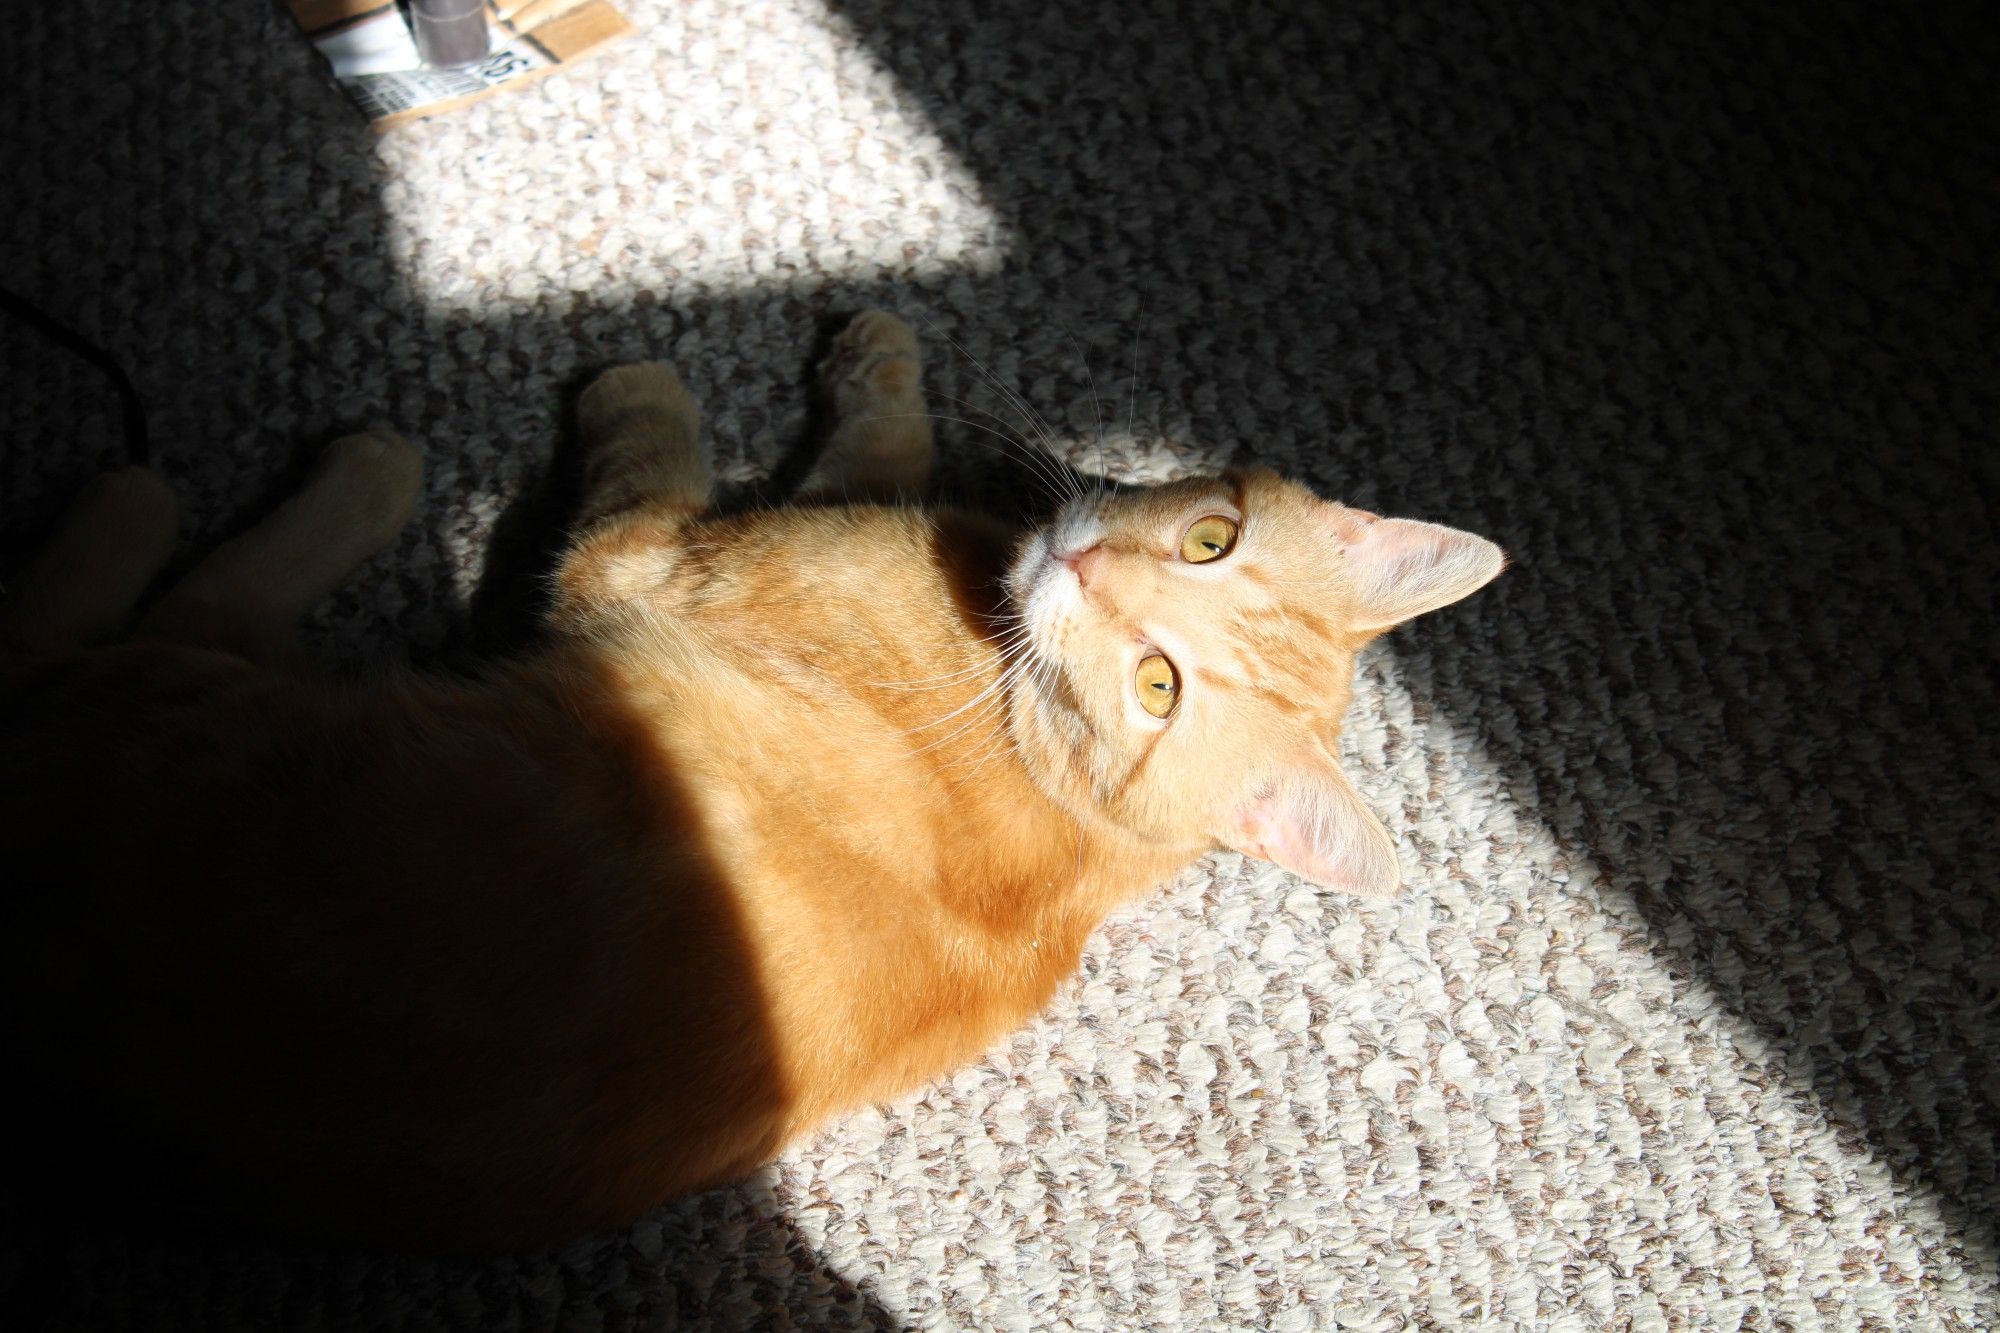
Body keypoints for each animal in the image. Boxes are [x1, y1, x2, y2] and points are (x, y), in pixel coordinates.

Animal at [0, 308, 1504, 1248]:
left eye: (1158, 688)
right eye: (1206, 538)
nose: (1082, 566)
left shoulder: (651, 556)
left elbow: (650, 453)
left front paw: (639, 384)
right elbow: (876, 441)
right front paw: (883, 351)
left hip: (169, 707)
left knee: (146, 605)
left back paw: (260, 482)